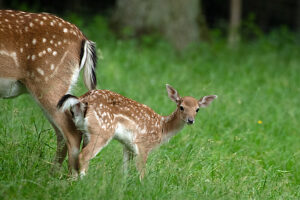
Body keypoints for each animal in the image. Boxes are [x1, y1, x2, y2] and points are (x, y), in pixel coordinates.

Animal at [0, 10, 97, 175]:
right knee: (62, 134)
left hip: (49, 80)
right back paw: (52, 175)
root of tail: (84, 39)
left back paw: (70, 178)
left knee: (72, 133)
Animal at [57, 83, 217, 179]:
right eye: (181, 107)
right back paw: (83, 180)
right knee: (84, 155)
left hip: (84, 131)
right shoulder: (143, 145)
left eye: (197, 109)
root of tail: (82, 101)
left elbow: (125, 169)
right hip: (102, 131)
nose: (190, 120)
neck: (162, 128)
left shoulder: (127, 145)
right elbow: (141, 171)